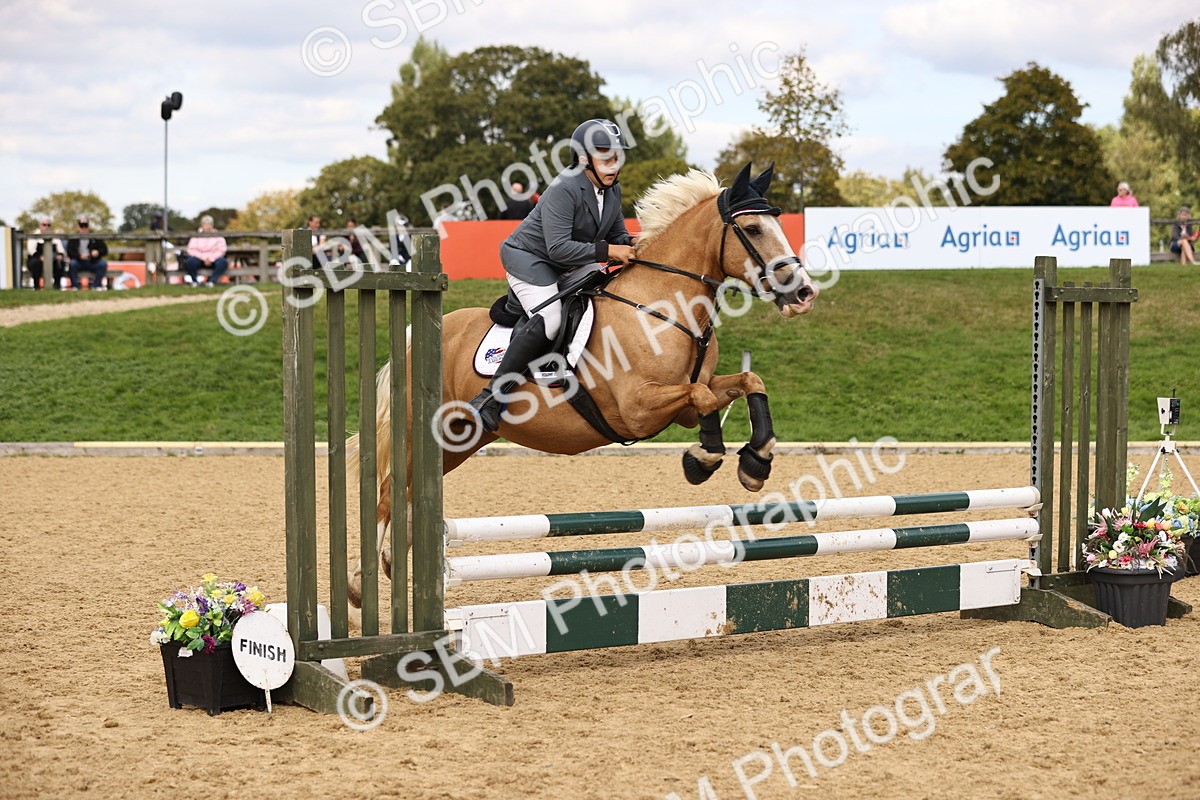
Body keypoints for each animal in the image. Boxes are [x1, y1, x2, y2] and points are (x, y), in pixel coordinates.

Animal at [347, 162, 819, 607]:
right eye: (753, 228)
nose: (804, 294)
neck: (664, 305)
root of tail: (417, 335)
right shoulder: (637, 409)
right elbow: (702, 398)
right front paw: (702, 460)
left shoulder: (684, 407)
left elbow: (748, 381)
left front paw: (755, 462)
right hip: (424, 432)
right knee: (388, 495)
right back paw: (358, 587)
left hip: (463, 440)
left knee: (409, 497)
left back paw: (392, 565)